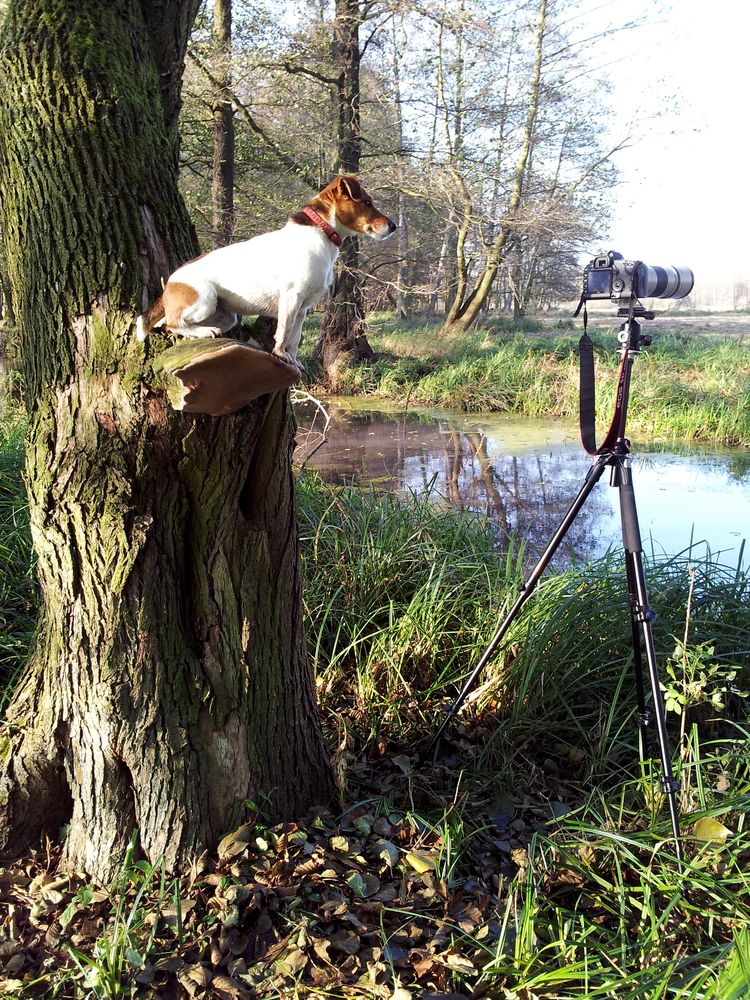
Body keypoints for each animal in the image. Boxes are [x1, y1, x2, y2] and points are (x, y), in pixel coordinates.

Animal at [136, 176, 396, 368]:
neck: (321, 232)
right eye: (367, 202)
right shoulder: (291, 299)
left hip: (226, 316)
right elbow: (283, 333)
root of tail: (170, 283)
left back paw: (203, 331)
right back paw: (204, 331)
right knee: (171, 324)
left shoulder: (304, 308)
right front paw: (281, 354)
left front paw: (294, 360)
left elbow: (295, 338)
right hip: (204, 300)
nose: (393, 226)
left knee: (172, 324)